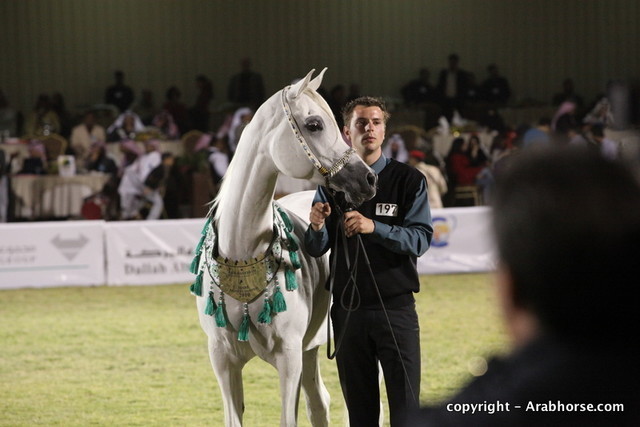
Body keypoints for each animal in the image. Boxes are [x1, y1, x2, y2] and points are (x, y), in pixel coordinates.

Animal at [190, 68, 377, 426]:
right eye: (315, 124)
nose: (368, 178)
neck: (243, 250)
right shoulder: (222, 358)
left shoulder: (288, 358)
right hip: (310, 349)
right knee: (319, 403)